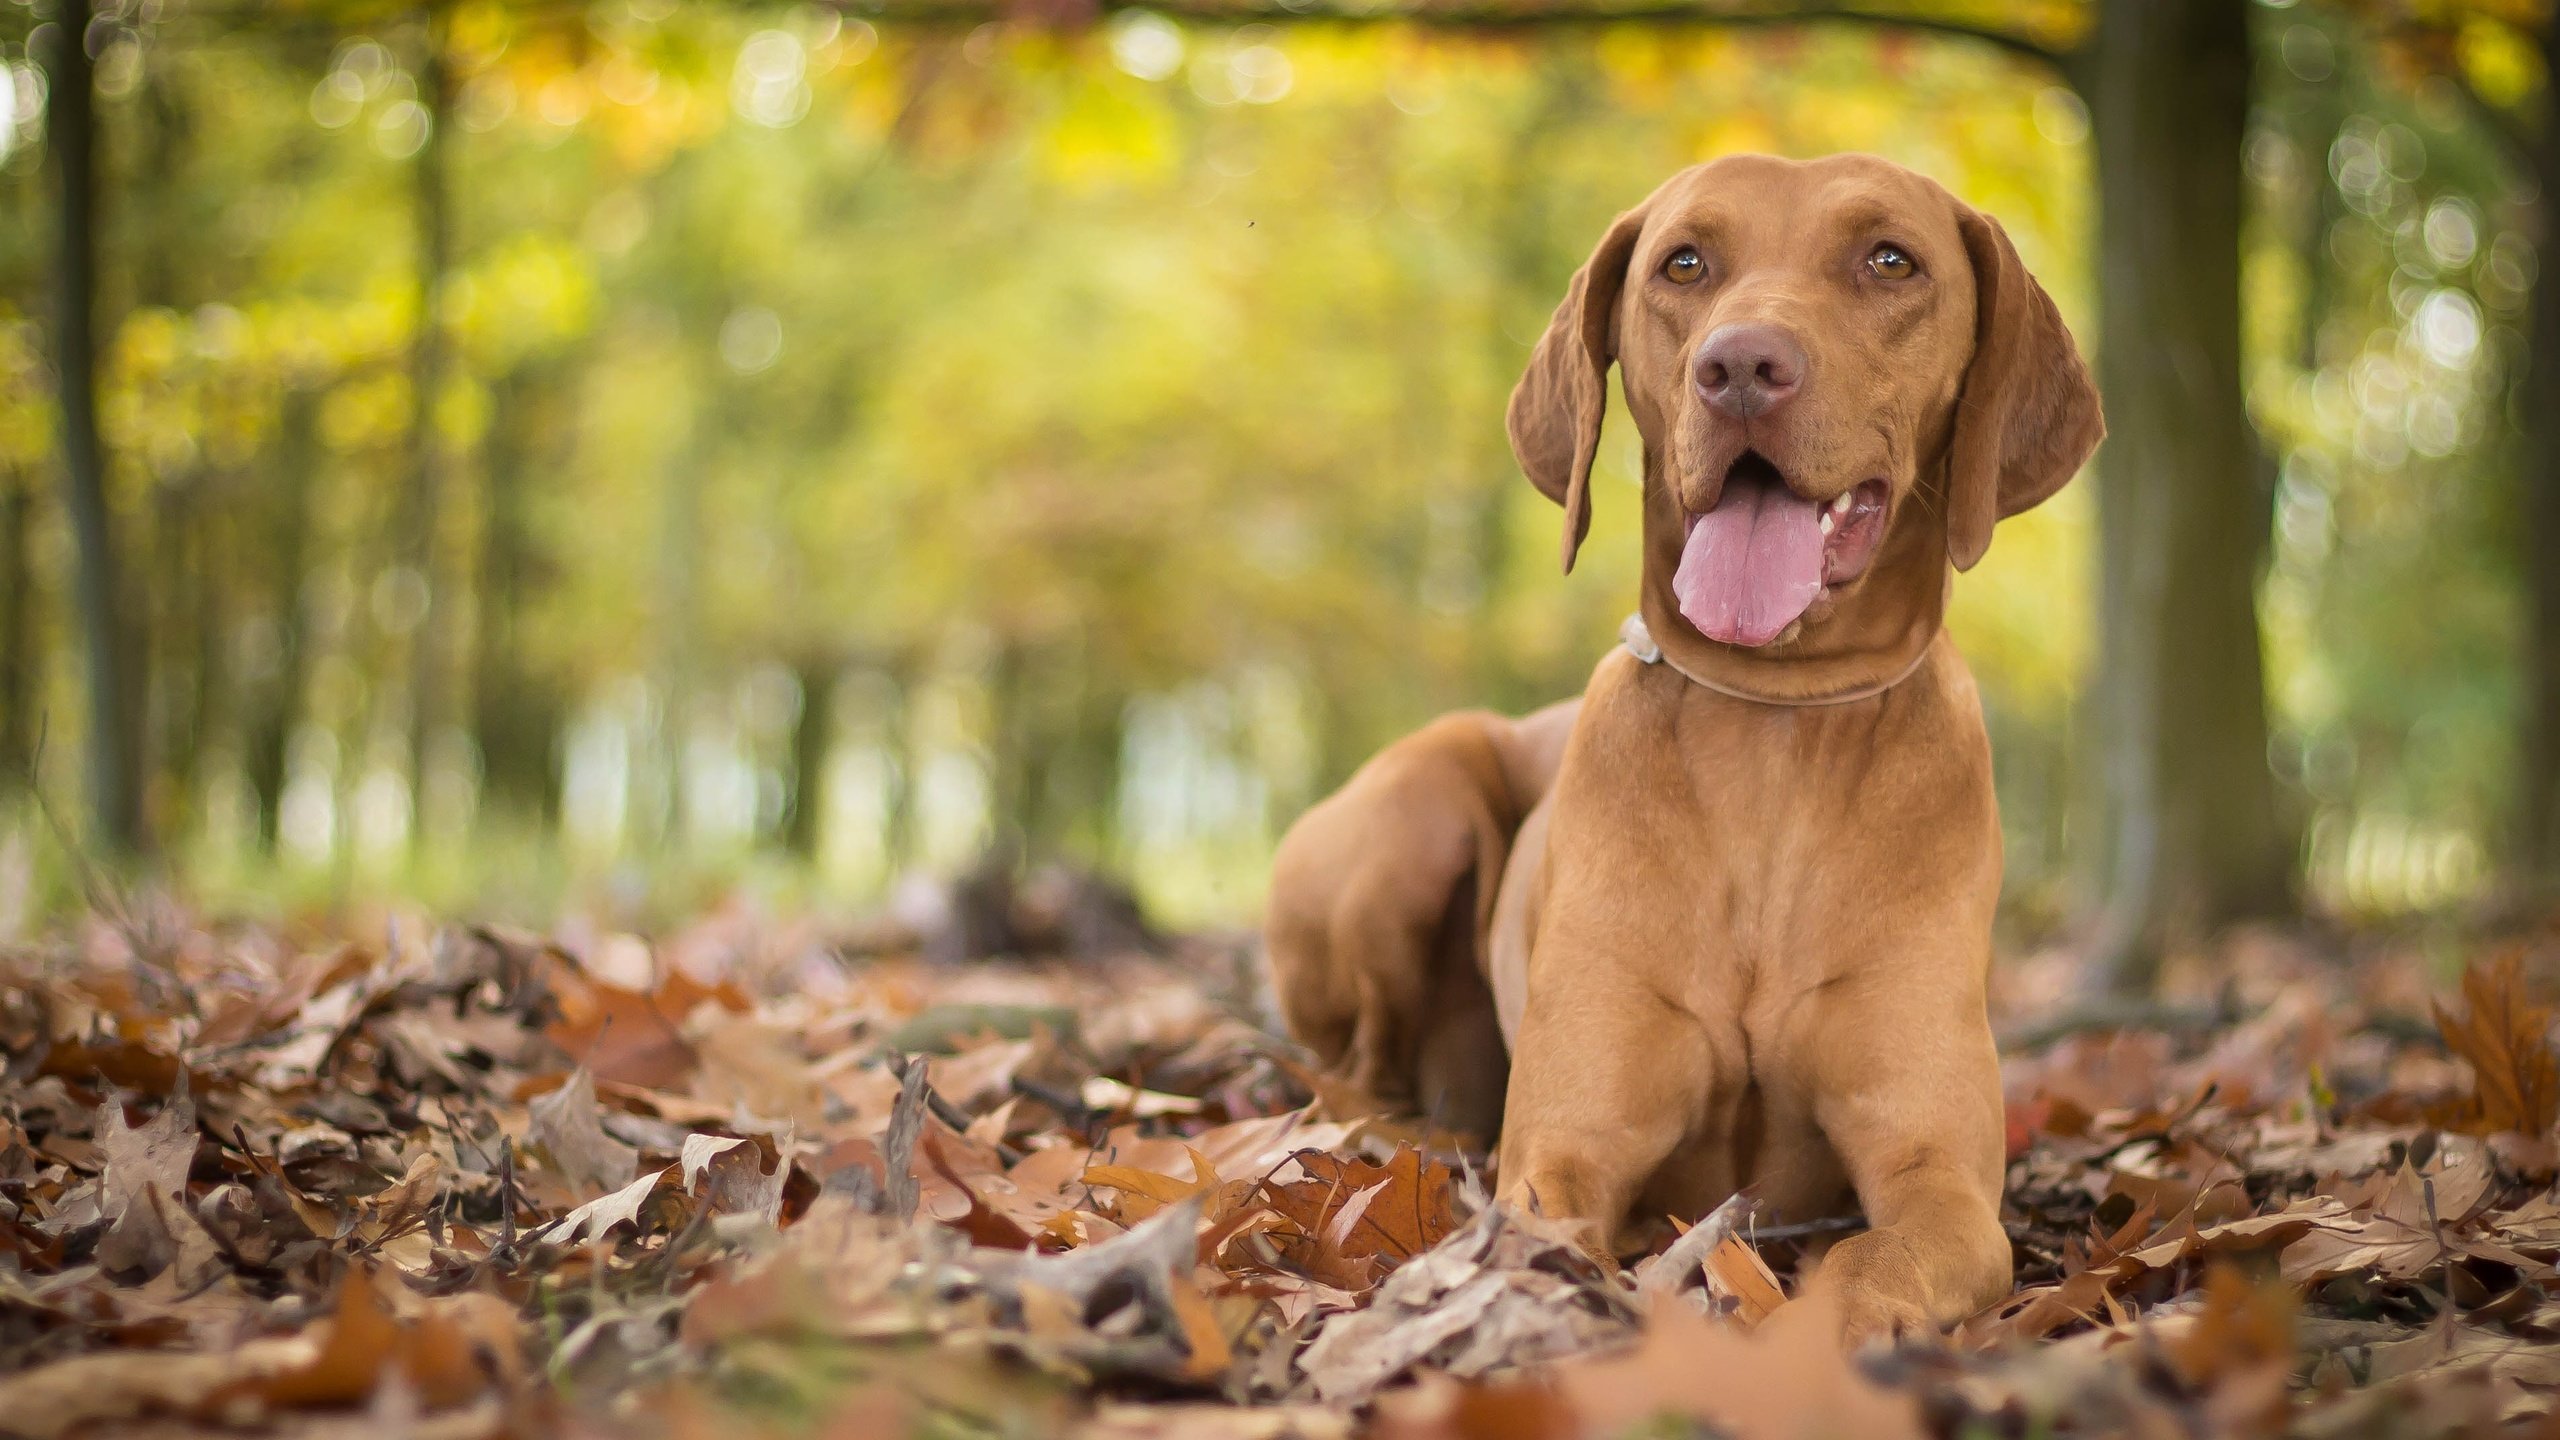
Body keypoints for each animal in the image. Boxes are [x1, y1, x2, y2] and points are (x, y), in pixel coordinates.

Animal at [1259, 151, 2099, 1342]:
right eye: (1684, 263)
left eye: (1891, 260)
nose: (1740, 365)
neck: (1774, 724)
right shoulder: (1565, 1150)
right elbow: (1549, 1229)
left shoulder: (1941, 1178)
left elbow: (1879, 1253)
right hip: (1413, 813)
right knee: (1359, 1067)